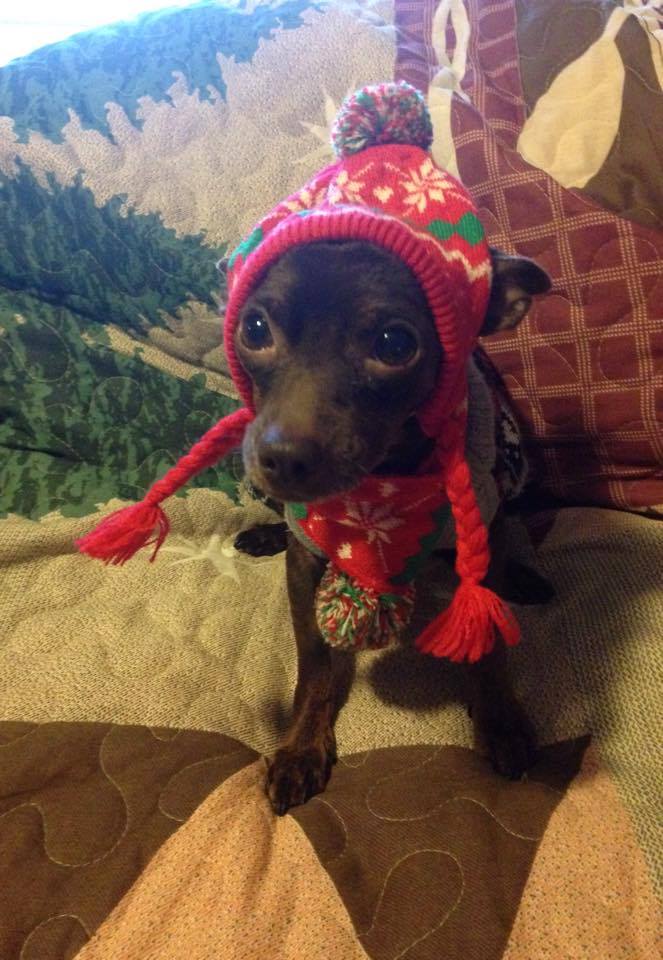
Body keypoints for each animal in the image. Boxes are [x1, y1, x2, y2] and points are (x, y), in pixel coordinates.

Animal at [231, 240, 551, 815]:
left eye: (395, 343)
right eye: (255, 328)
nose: (282, 459)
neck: (385, 483)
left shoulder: (480, 538)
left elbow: (488, 640)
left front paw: (499, 721)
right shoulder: (305, 562)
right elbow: (314, 661)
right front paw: (301, 748)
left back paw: (522, 576)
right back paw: (265, 534)